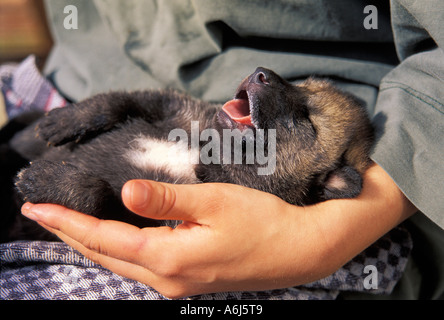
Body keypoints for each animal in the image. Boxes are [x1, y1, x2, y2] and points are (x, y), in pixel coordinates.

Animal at [1, 67, 372, 240]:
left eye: (308, 120)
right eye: (299, 84)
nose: (261, 73)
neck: (205, 151)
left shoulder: (143, 218)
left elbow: (97, 194)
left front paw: (41, 179)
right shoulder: (167, 105)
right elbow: (114, 101)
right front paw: (64, 120)